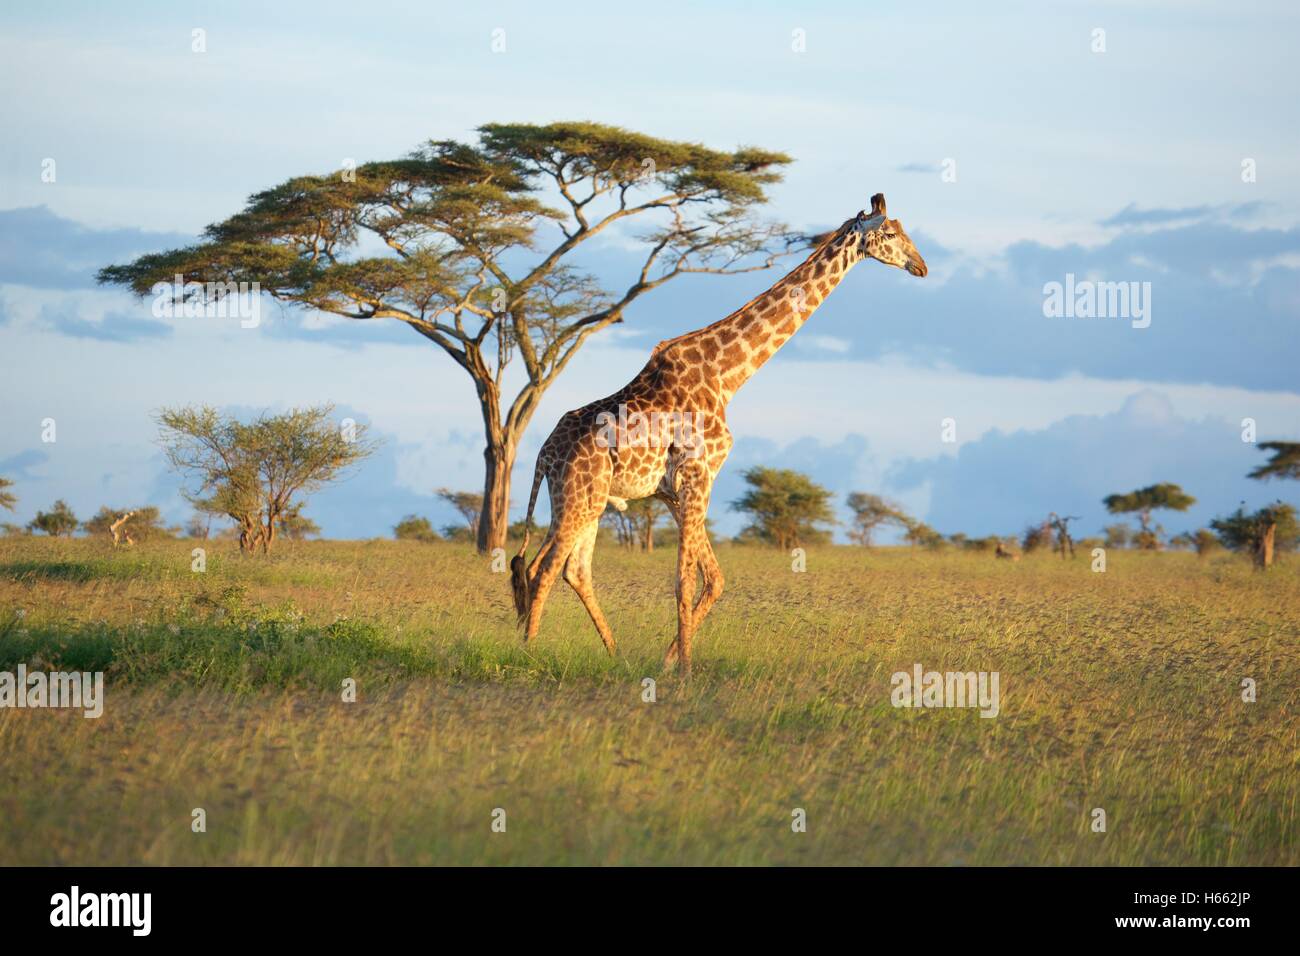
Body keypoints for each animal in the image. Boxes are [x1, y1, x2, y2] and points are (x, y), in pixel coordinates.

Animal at [506, 192, 925, 671]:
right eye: (889, 233)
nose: (921, 265)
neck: (728, 376)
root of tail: (543, 453)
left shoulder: (674, 491)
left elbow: (714, 579)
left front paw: (669, 660)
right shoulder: (698, 475)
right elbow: (685, 581)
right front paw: (685, 669)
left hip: (586, 499)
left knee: (570, 569)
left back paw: (614, 655)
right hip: (580, 496)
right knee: (543, 568)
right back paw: (530, 653)